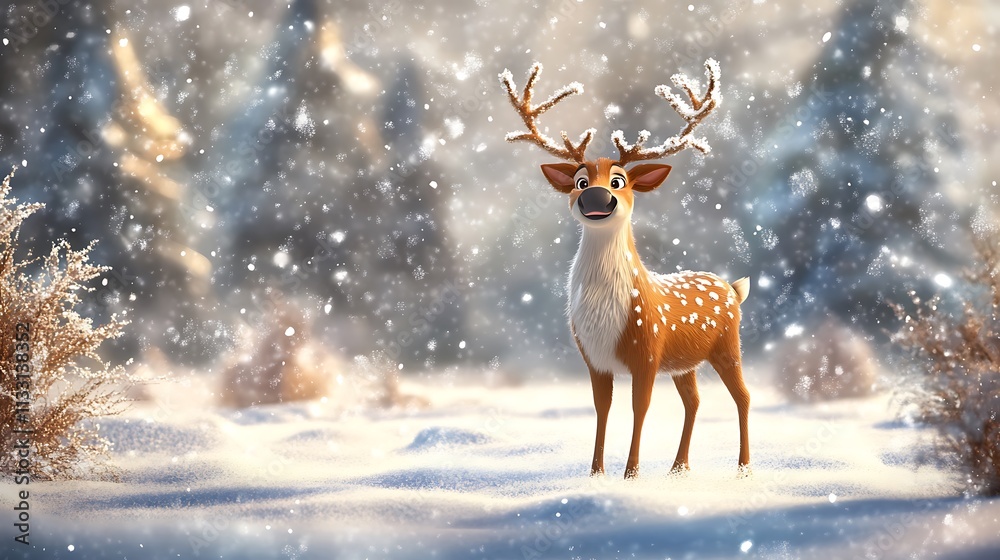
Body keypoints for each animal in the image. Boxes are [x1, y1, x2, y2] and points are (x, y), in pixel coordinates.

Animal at [499, 59, 751, 479]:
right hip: (684, 363)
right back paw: (678, 468)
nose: (596, 197)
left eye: (618, 181)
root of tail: (733, 288)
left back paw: (743, 469)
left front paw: (631, 474)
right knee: (694, 400)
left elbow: (640, 407)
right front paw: (596, 474)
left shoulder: (647, 349)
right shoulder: (594, 357)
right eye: (580, 180)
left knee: (743, 397)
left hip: (728, 345)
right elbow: (602, 408)